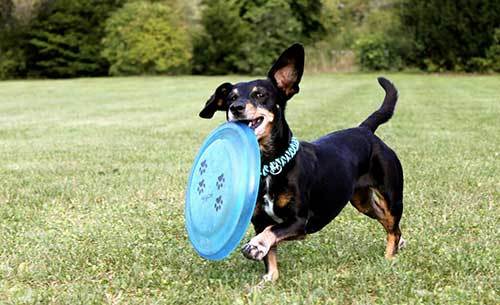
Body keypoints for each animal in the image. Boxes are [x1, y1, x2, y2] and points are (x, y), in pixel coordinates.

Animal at [197, 42, 404, 280]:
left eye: (260, 94)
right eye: (231, 97)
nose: (236, 108)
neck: (271, 167)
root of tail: (365, 130)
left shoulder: (298, 222)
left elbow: (271, 232)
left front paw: (255, 246)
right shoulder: (260, 220)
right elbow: (270, 253)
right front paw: (269, 279)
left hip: (392, 196)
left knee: (393, 226)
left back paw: (389, 258)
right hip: (362, 201)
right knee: (388, 222)